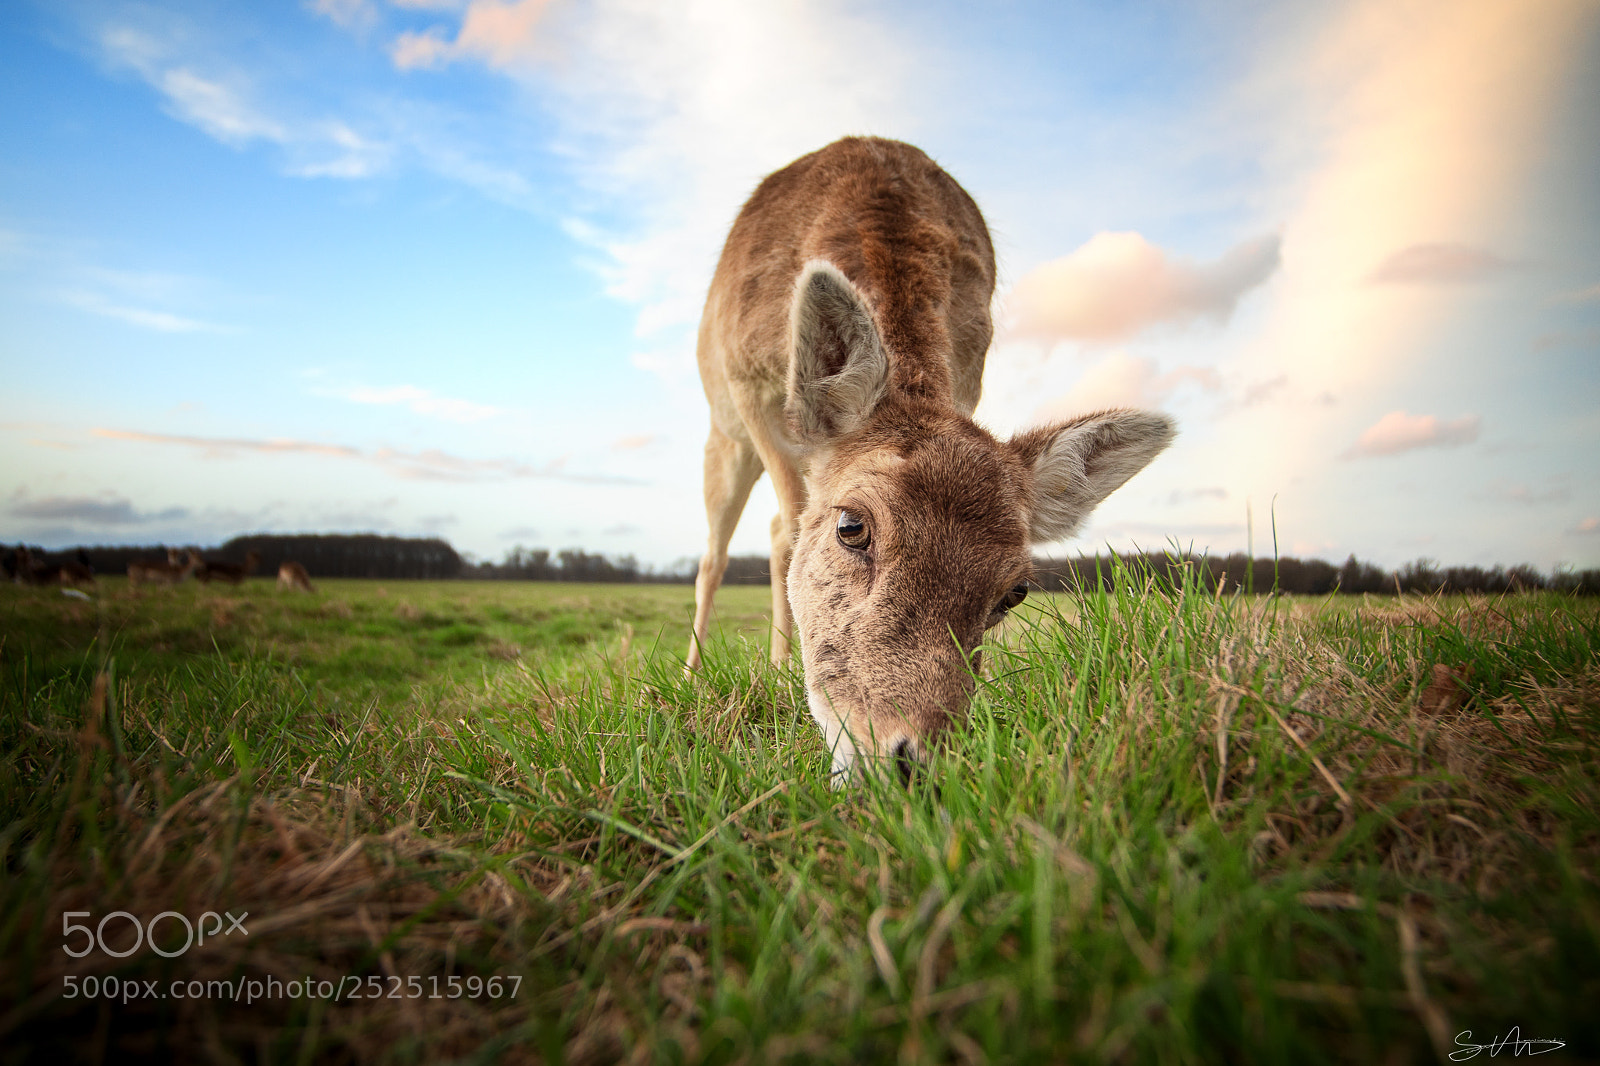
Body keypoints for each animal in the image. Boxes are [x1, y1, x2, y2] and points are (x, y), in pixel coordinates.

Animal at [686, 137, 1174, 784]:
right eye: (852, 527)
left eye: (1016, 592)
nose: (909, 758)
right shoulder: (753, 390)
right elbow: (792, 529)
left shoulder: (968, 378)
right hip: (724, 432)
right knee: (720, 550)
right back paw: (701, 671)